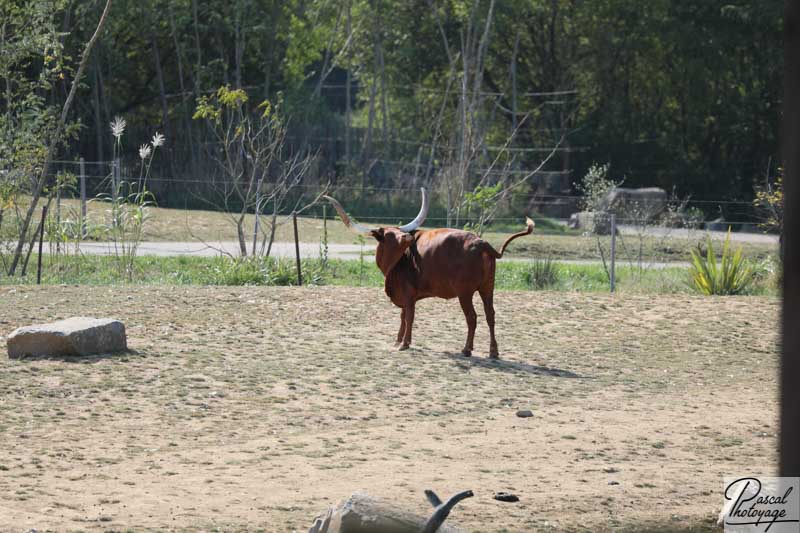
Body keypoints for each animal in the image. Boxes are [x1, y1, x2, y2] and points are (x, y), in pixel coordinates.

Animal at [324, 187, 532, 358]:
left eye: (398, 232)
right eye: (390, 234)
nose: (407, 236)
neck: (400, 260)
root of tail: (481, 243)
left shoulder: (408, 293)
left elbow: (409, 316)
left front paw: (405, 344)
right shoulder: (406, 294)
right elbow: (403, 316)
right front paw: (398, 340)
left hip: (465, 292)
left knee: (472, 318)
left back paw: (466, 349)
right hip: (487, 288)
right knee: (491, 316)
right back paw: (493, 352)